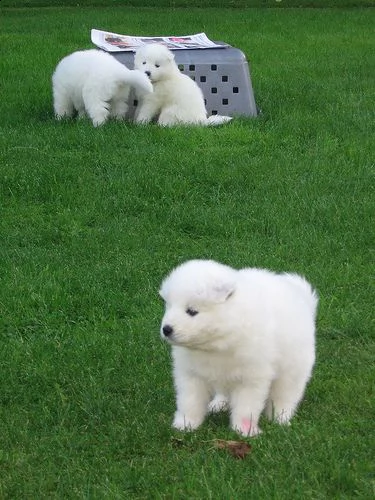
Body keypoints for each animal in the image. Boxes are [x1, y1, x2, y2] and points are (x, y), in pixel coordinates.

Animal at [160, 260, 318, 436]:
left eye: (192, 311)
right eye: (169, 306)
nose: (166, 329)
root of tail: (301, 297)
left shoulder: (251, 377)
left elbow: (246, 407)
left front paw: (244, 431)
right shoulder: (190, 374)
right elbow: (189, 401)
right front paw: (185, 424)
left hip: (293, 369)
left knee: (285, 396)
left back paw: (280, 419)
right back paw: (218, 404)